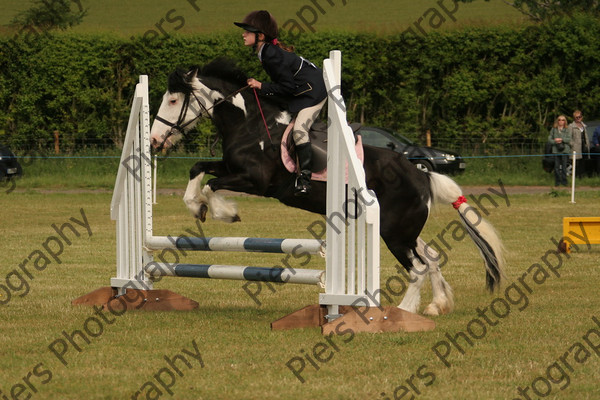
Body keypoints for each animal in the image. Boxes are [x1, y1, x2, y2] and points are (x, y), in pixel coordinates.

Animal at [148, 57, 504, 318]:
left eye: (173, 99)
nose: (153, 140)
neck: (250, 124)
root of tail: (422, 176)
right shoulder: (231, 167)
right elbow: (198, 169)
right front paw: (195, 205)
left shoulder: (255, 180)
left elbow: (212, 185)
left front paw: (224, 211)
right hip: (404, 230)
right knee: (431, 258)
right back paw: (436, 305)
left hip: (393, 233)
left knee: (417, 268)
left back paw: (403, 312)